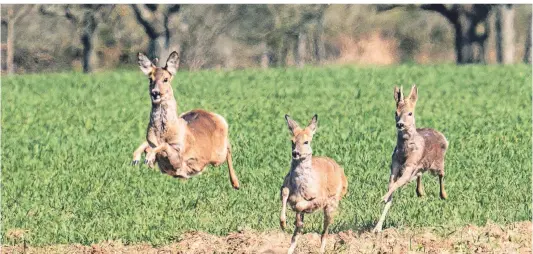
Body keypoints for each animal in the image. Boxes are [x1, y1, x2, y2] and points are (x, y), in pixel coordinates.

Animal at [131, 51, 239, 190]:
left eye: (166, 79)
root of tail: (215, 116)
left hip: (218, 155)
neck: (163, 133)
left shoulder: (178, 155)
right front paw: (137, 158)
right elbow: (146, 145)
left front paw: (148, 157)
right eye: (150, 79)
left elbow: (164, 146)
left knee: (228, 149)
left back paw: (236, 184)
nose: (155, 93)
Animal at [278, 115, 350, 254]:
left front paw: (296, 219)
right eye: (292, 141)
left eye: (306, 142)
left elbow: (300, 205)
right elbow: (284, 193)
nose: (295, 153)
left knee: (324, 232)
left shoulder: (320, 198)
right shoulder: (285, 186)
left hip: (332, 204)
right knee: (295, 236)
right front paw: (283, 224)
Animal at [372, 85, 446, 232]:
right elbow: (391, 188)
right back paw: (420, 192)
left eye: (410, 113)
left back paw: (443, 195)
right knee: (420, 174)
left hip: (437, 163)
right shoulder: (394, 167)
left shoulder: (409, 167)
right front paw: (377, 228)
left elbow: (397, 184)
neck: (404, 152)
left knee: (441, 174)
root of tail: (441, 135)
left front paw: (382, 198)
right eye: (396, 112)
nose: (400, 124)